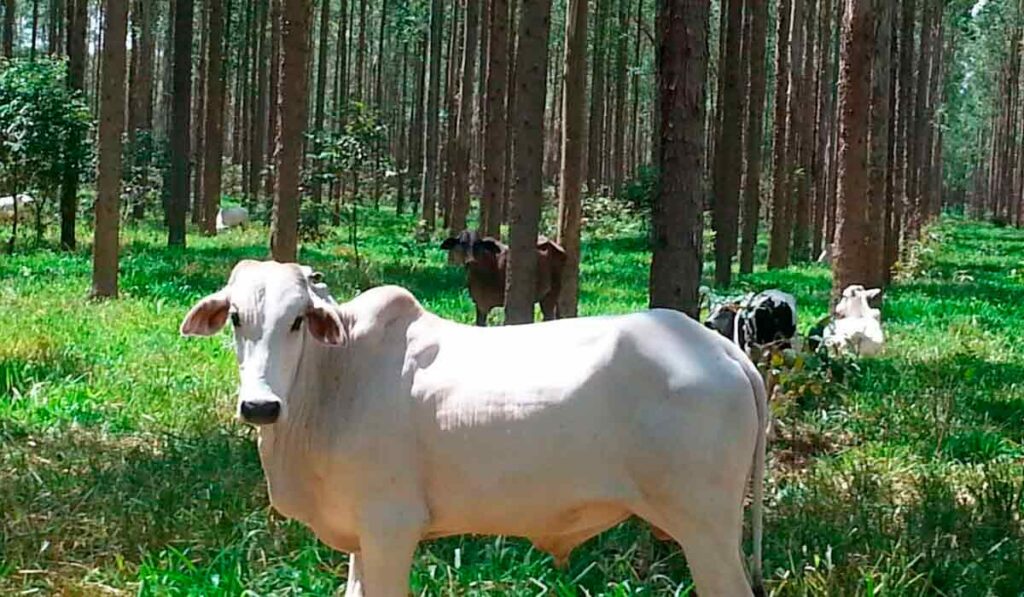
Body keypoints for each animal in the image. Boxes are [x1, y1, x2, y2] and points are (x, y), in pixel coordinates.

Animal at [178, 262, 770, 597]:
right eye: (236, 317)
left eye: (298, 320)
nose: (260, 406)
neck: (332, 382)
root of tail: (720, 348)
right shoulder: (361, 539)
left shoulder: (391, 526)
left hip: (706, 529)